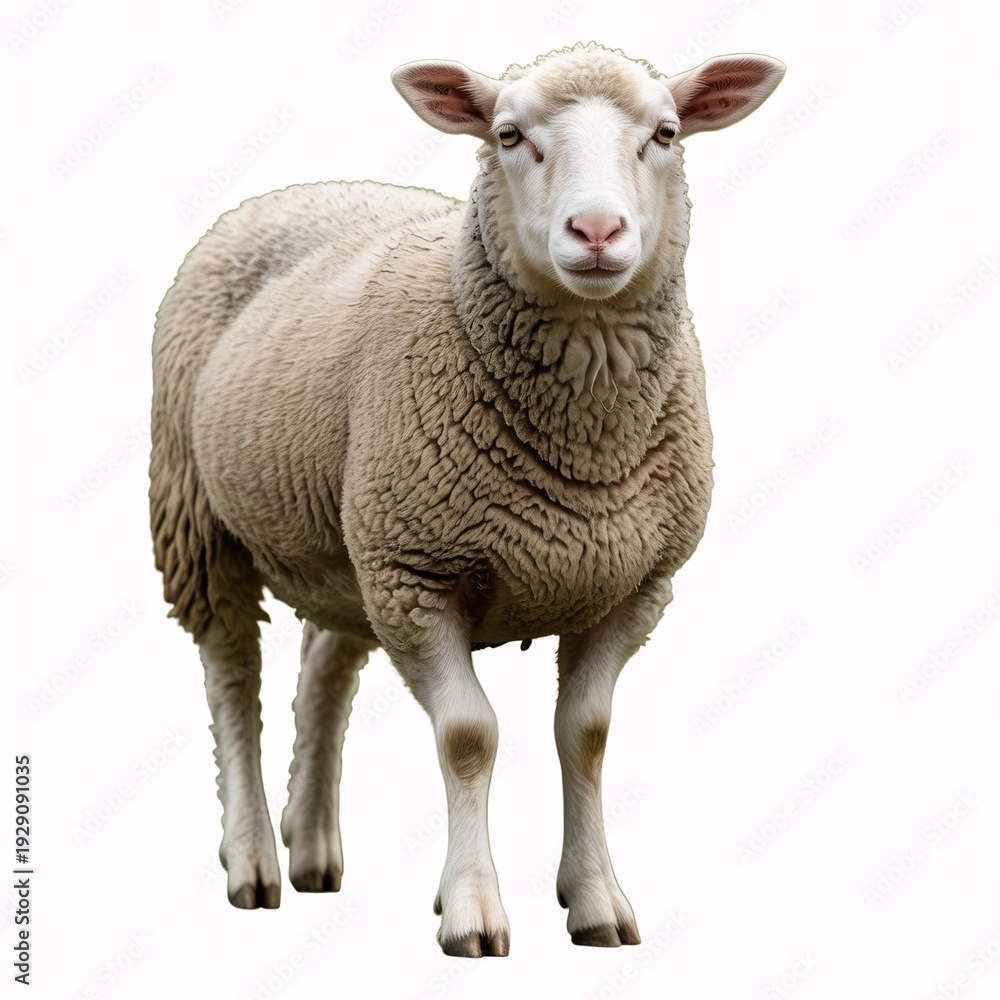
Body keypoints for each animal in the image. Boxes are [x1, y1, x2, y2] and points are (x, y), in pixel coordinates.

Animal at [149, 42, 784, 957]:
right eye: (509, 134)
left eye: (665, 133)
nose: (597, 233)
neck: (584, 444)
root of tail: (305, 188)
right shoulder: (419, 574)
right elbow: (468, 736)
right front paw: (473, 910)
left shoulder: (632, 584)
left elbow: (586, 735)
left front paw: (596, 900)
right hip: (201, 520)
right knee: (233, 676)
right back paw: (254, 861)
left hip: (349, 543)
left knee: (324, 670)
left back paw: (313, 851)